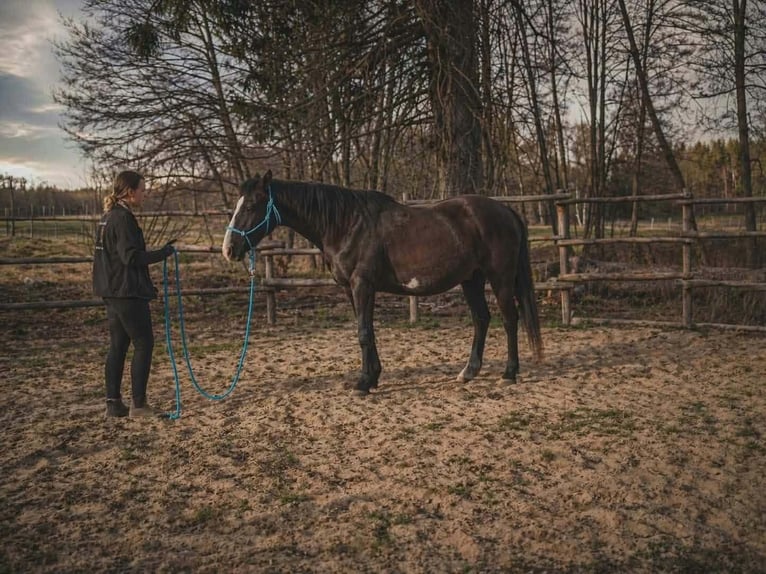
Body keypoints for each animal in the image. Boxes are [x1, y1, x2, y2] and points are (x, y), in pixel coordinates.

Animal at [222, 170, 543, 395]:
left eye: (251, 205)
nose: (229, 248)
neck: (346, 224)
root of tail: (507, 211)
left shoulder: (362, 285)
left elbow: (364, 333)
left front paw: (363, 383)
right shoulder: (352, 289)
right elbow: (368, 331)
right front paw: (373, 377)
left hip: (500, 278)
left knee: (509, 319)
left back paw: (509, 374)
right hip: (471, 280)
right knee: (482, 319)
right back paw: (469, 372)